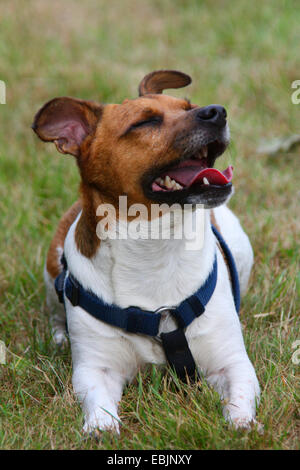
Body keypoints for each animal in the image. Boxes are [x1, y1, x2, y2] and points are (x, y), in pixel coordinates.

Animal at [32, 69, 260, 434]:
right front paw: (101, 429)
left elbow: (239, 396)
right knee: (55, 307)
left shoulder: (231, 362)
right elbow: (98, 403)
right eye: (144, 122)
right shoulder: (96, 369)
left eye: (189, 106)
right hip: (50, 268)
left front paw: (241, 425)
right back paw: (58, 335)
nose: (217, 111)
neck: (155, 245)